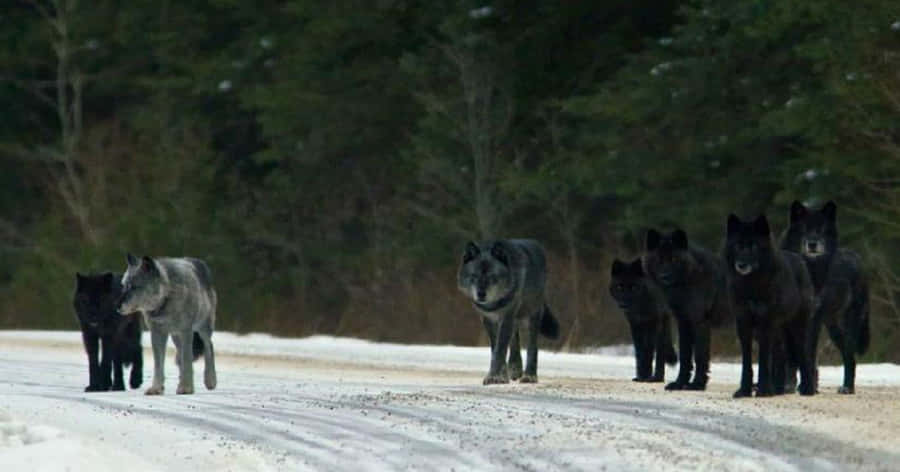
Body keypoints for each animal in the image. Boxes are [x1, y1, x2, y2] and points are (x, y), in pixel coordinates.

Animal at [116, 254, 217, 395]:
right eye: (124, 286)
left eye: (134, 287)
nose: (117, 307)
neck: (166, 299)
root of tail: (200, 263)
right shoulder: (157, 333)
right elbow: (159, 364)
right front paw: (156, 388)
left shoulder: (186, 331)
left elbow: (187, 359)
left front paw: (186, 388)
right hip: (176, 337)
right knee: (182, 356)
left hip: (202, 329)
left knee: (209, 347)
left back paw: (210, 380)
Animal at [457, 239, 560, 385]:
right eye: (474, 276)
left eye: (492, 277)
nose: (481, 294)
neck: (494, 305)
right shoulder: (488, 320)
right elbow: (495, 349)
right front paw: (502, 376)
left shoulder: (506, 317)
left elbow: (500, 350)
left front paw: (495, 376)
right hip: (515, 320)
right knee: (515, 342)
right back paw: (515, 369)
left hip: (531, 317)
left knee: (532, 347)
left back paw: (530, 375)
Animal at [644, 228, 729, 391]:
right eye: (659, 259)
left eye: (674, 259)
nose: (664, 276)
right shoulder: (683, 323)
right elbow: (684, 357)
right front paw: (679, 383)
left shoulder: (699, 323)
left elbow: (700, 357)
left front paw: (697, 384)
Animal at [724, 214, 816, 397]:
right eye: (738, 245)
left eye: (754, 246)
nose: (741, 265)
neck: (751, 286)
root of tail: (800, 260)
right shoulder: (743, 324)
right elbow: (747, 362)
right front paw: (744, 390)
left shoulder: (765, 324)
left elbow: (763, 361)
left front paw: (764, 390)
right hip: (778, 333)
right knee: (780, 356)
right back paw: (778, 389)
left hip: (797, 330)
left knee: (804, 357)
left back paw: (807, 388)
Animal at [782, 201, 870, 394]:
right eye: (805, 228)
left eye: (821, 229)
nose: (812, 244)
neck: (809, 270)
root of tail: (858, 259)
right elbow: (791, 355)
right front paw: (790, 385)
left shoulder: (813, 318)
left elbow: (808, 353)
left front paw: (807, 386)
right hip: (832, 327)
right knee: (849, 355)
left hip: (848, 323)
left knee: (849, 354)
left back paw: (847, 387)